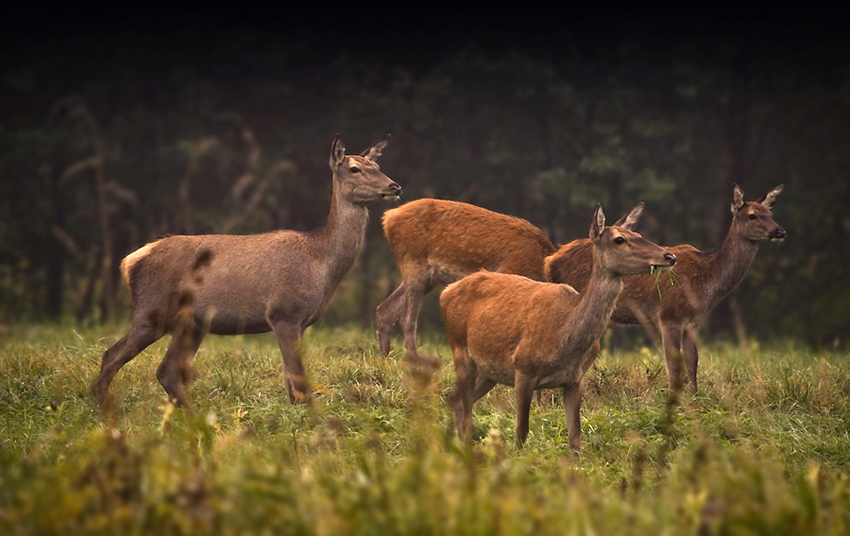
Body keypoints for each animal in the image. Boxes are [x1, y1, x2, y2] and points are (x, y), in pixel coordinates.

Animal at [94, 133, 400, 406]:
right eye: (354, 168)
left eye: (378, 167)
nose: (394, 186)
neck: (320, 264)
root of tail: (130, 260)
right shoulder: (283, 312)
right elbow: (298, 381)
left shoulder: (300, 322)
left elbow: (292, 384)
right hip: (151, 310)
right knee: (110, 356)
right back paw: (103, 408)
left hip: (192, 324)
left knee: (166, 370)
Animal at [378, 199, 556, 366]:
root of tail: (388, 218)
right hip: (413, 266)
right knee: (406, 319)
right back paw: (415, 361)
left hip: (427, 278)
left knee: (385, 309)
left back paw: (385, 360)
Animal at [440, 203, 672, 450]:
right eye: (619, 239)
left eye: (638, 234)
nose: (669, 256)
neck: (564, 335)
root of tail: (446, 292)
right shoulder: (523, 368)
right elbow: (521, 433)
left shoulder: (574, 379)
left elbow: (575, 438)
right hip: (460, 350)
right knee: (463, 408)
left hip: (489, 371)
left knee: (456, 401)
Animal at [544, 184, 780, 394]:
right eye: (752, 216)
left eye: (770, 213)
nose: (780, 231)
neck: (706, 285)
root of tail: (551, 259)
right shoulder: (669, 316)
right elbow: (673, 365)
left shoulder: (693, 322)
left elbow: (693, 361)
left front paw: (695, 396)